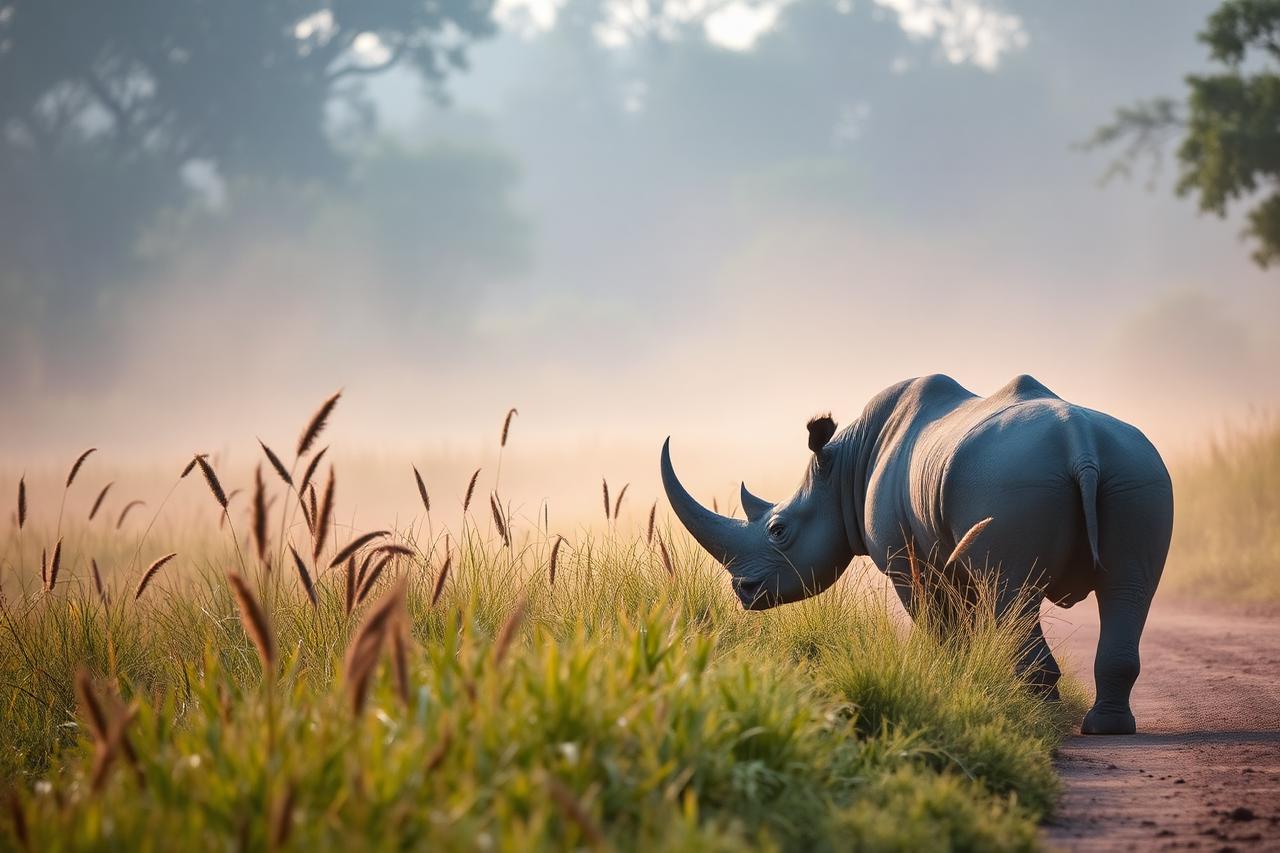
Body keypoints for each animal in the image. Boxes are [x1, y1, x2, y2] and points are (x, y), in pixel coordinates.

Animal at [661, 374, 1173, 735]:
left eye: (778, 530)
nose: (743, 591)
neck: (844, 468)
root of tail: (1081, 443)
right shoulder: (950, 553)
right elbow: (965, 618)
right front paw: (966, 680)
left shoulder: (905, 563)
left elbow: (940, 622)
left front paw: (952, 679)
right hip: (1137, 471)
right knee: (1129, 589)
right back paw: (1106, 728)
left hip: (1012, 482)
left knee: (1016, 593)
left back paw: (1042, 716)